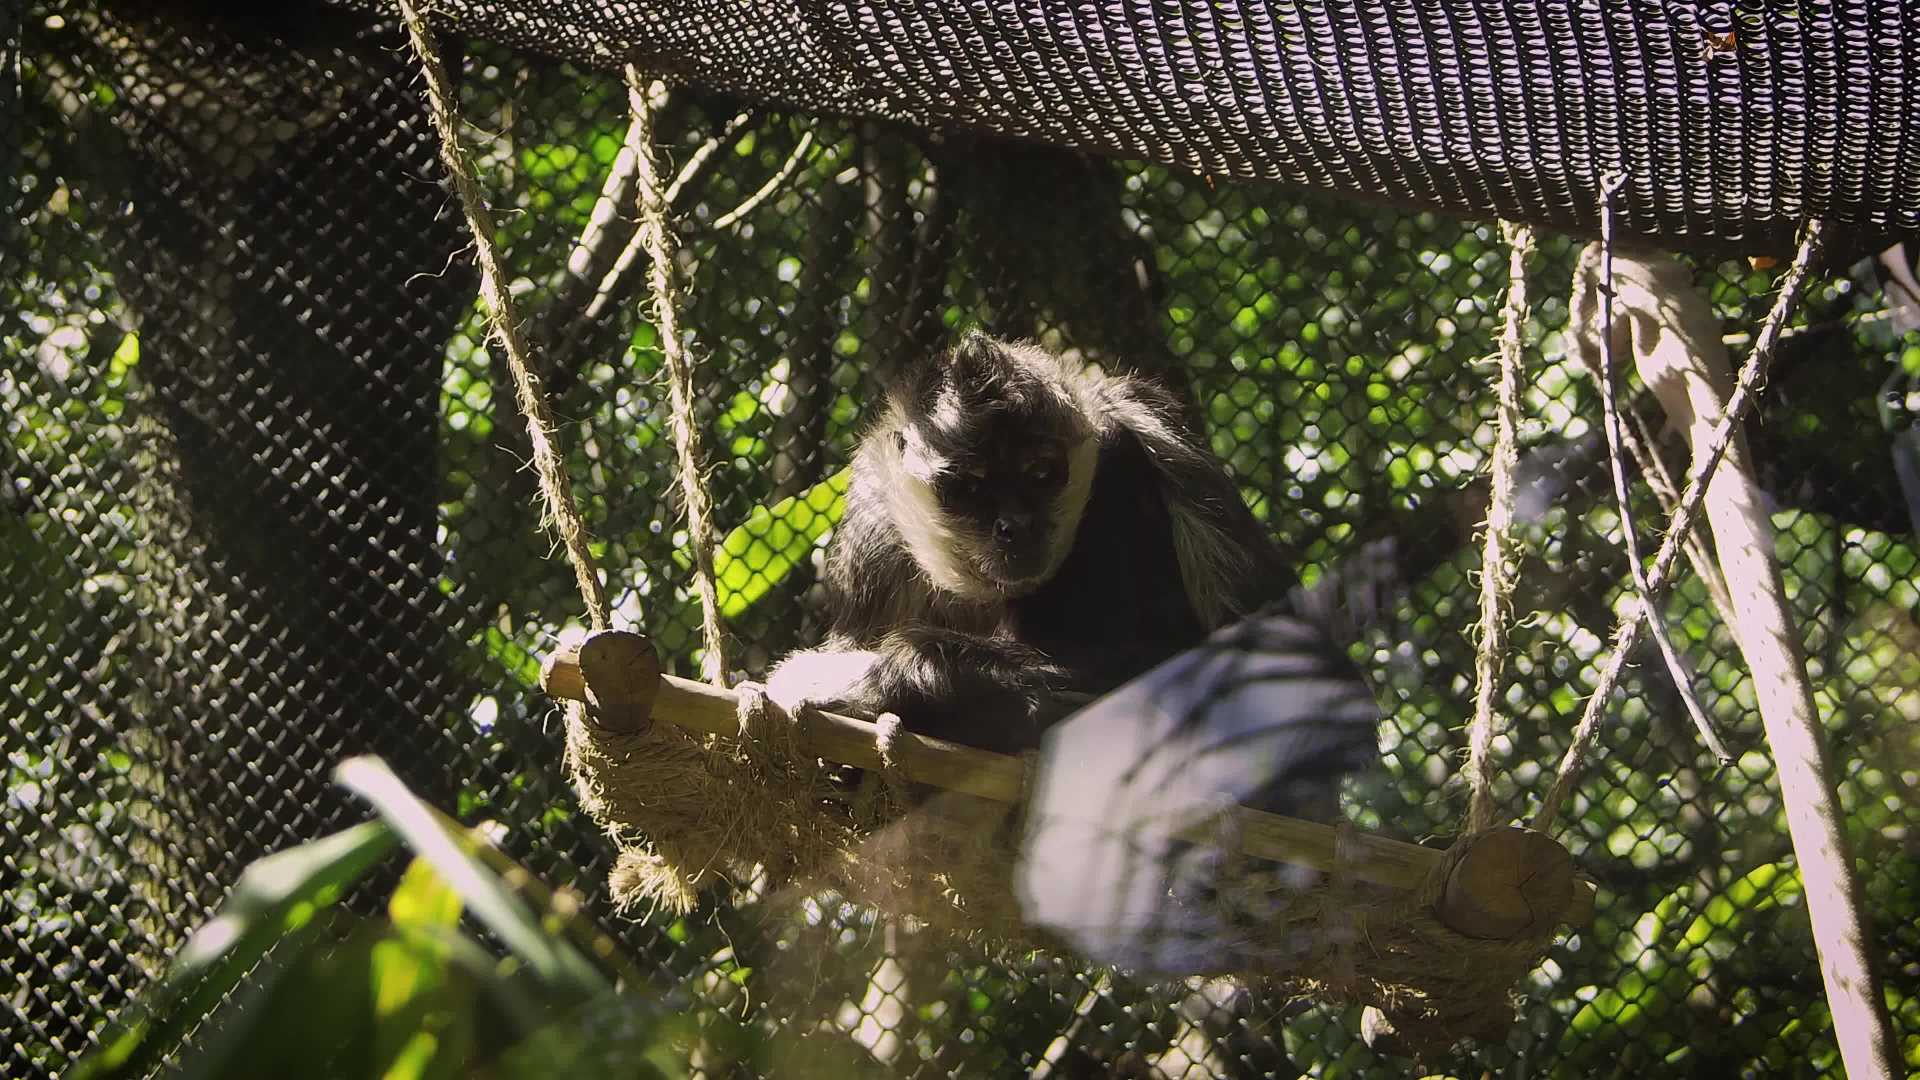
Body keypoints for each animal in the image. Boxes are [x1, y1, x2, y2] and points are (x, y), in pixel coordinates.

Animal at [763, 330, 1297, 754]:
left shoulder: (1119, 454)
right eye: (970, 488)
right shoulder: (873, 520)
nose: (1015, 525)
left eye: (1040, 474)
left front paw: (899, 678)